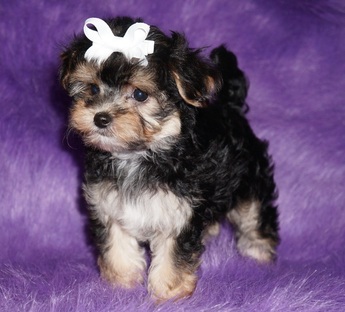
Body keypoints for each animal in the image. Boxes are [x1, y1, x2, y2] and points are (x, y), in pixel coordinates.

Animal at [59, 16, 280, 300]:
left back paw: (259, 256)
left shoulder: (180, 213)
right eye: (93, 88)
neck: (138, 155)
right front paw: (121, 285)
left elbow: (173, 255)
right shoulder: (109, 205)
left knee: (254, 216)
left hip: (250, 181)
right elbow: (117, 246)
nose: (100, 118)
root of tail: (231, 109)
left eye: (140, 94)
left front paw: (169, 292)